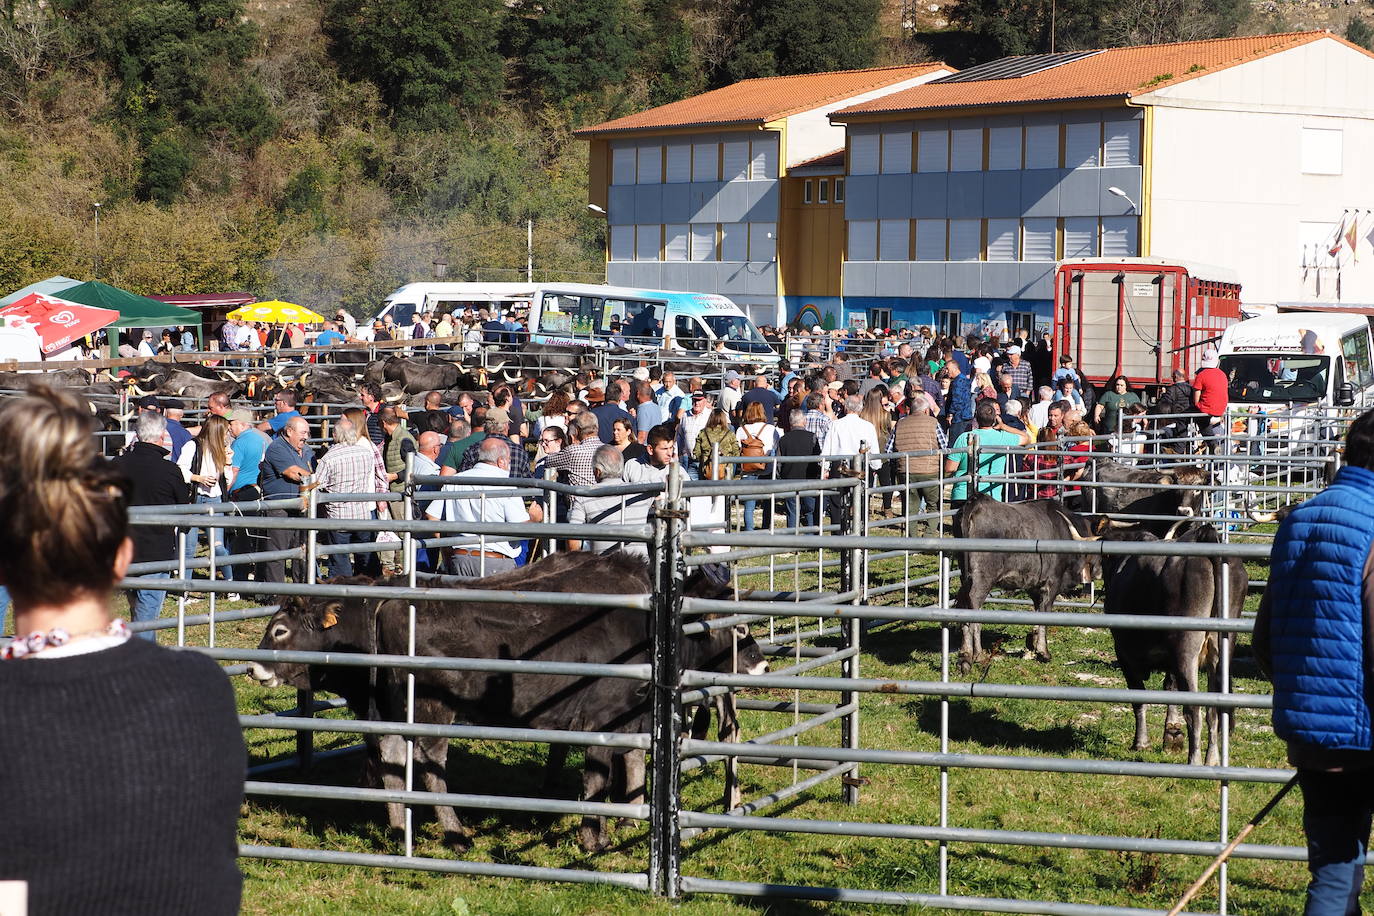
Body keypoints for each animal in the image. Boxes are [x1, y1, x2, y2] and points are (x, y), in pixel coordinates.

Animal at [247, 549, 763, 856]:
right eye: (736, 626)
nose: (757, 661)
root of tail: (393, 603)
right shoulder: (599, 719)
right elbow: (597, 779)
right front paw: (592, 839)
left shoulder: (630, 718)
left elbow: (631, 767)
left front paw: (624, 825)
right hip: (432, 711)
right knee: (427, 765)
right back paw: (454, 833)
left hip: (397, 710)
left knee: (393, 756)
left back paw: (398, 830)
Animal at [956, 494, 1104, 672]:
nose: (1100, 571)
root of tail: (976, 502)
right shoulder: (1052, 582)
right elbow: (1045, 613)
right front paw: (1043, 652)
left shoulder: (1034, 587)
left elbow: (1037, 612)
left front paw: (1033, 643)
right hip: (982, 579)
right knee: (972, 606)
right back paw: (969, 656)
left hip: (966, 578)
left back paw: (975, 655)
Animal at [1099, 521, 1253, 769]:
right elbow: (1170, 687)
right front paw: (1171, 734)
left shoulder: (1124, 654)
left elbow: (1139, 698)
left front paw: (1141, 742)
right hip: (1221, 647)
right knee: (1212, 710)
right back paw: (1212, 758)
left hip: (1186, 646)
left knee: (1194, 708)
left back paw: (1195, 760)